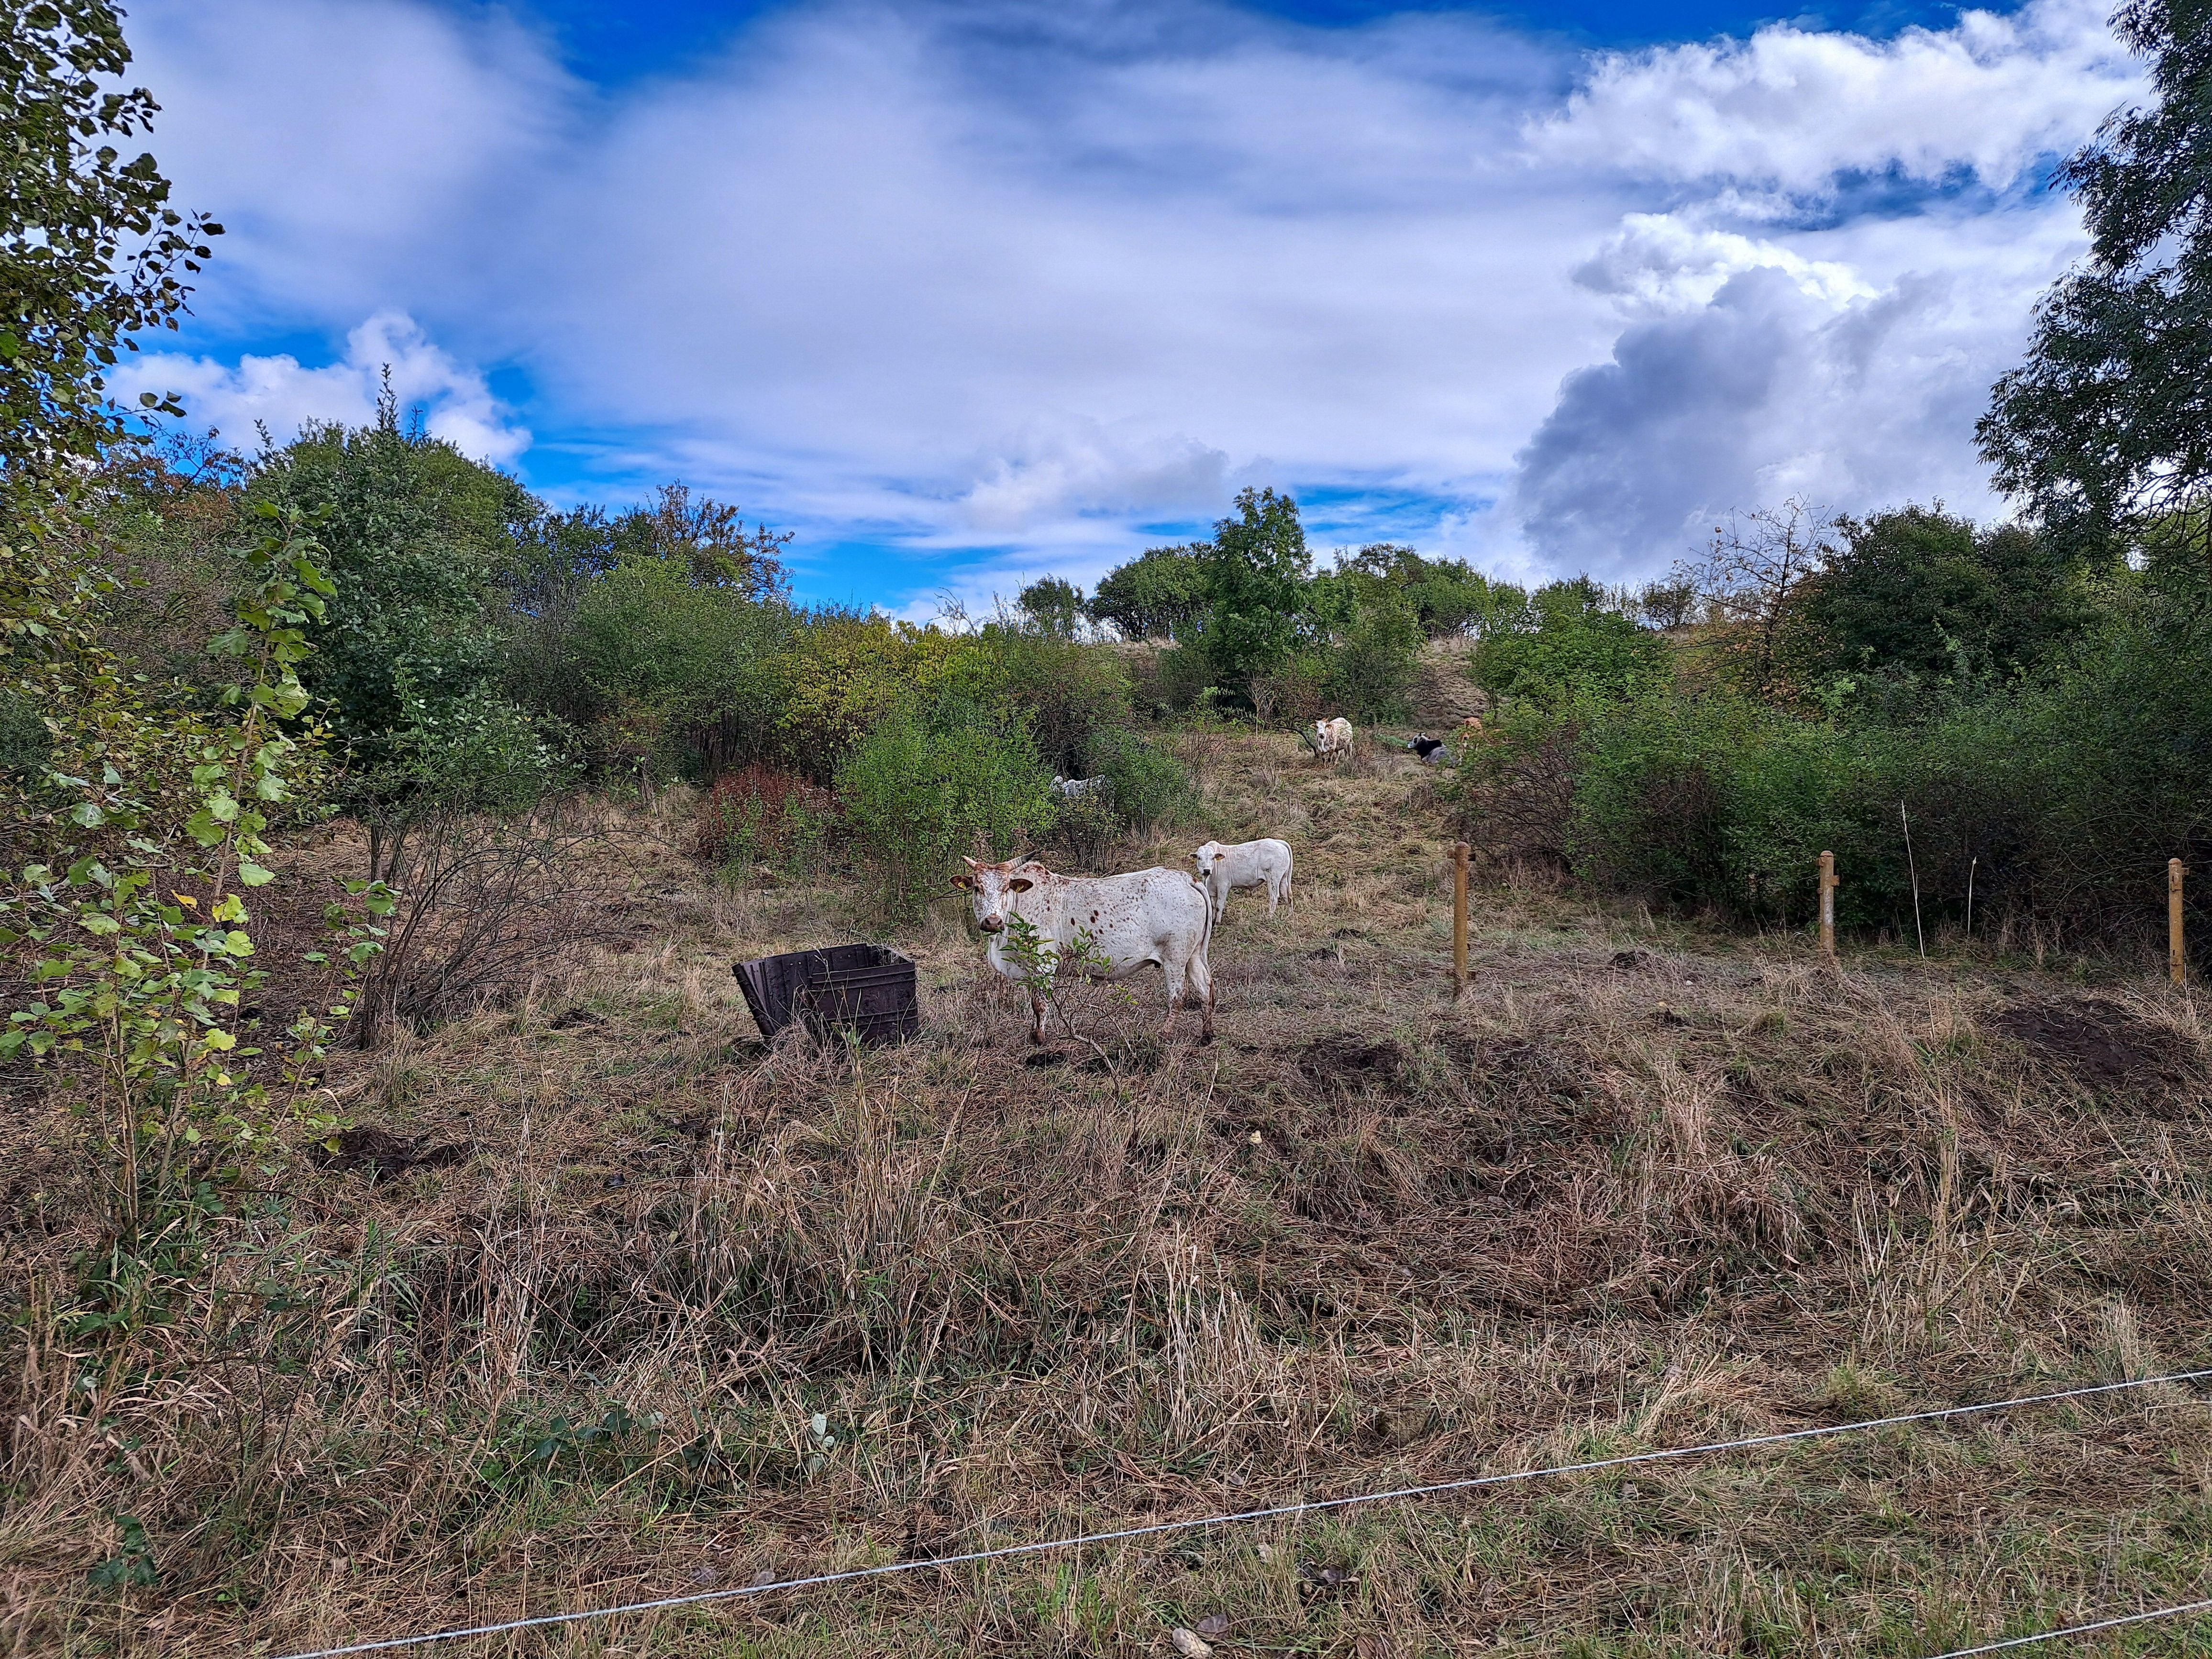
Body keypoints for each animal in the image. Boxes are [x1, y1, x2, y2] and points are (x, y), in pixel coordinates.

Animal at [960, 863, 1221, 1044]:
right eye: (977, 888)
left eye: (1005, 888)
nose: (992, 922)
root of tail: (1187, 879)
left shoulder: (1044, 964)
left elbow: (1039, 1004)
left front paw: (1040, 1039)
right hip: (1193, 955)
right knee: (1205, 987)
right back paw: (1206, 1034)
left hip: (1174, 957)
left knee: (1178, 995)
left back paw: (1164, 1034)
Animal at [1194, 836, 1292, 929]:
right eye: (1199, 858)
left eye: (1212, 858)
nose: (1207, 870)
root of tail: (1277, 842)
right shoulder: (1213, 890)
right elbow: (1213, 906)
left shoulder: (1223, 886)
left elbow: (1219, 906)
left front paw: (1217, 924)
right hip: (1283, 879)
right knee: (1287, 896)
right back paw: (1289, 916)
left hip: (1273, 879)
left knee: (1274, 897)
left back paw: (1269, 918)